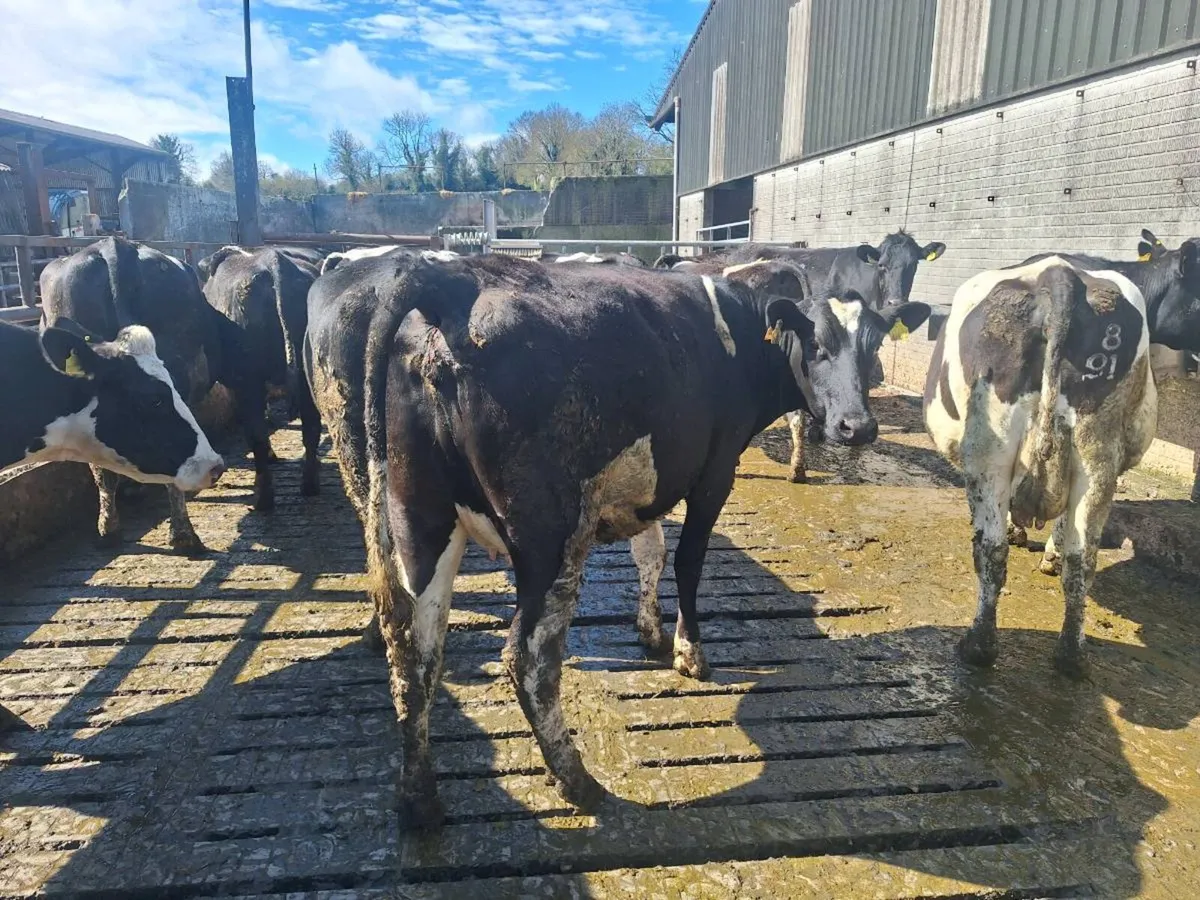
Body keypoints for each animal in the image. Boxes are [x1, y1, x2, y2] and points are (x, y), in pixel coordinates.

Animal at [201, 247, 322, 508]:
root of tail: (274, 261)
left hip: (248, 379)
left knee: (256, 432)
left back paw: (263, 497)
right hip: (306, 376)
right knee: (311, 426)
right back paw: (309, 484)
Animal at [308, 250, 903, 828]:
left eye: (873, 347)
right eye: (818, 345)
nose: (857, 426)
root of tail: (450, 284)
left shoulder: (652, 483)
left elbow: (651, 552)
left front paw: (650, 629)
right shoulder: (714, 471)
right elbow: (686, 561)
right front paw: (689, 652)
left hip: (419, 522)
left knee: (414, 656)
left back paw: (420, 799)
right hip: (551, 536)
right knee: (528, 658)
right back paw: (576, 779)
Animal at [924, 257, 1159, 679]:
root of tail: (1059, 276)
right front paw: (1048, 552)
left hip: (988, 448)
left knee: (991, 549)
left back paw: (978, 647)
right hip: (1097, 448)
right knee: (1082, 558)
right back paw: (1071, 655)